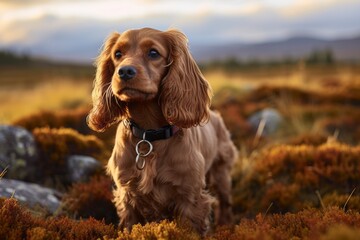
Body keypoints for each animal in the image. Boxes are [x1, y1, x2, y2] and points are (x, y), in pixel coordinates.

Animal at [87, 27, 238, 234]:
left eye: (153, 53)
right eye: (117, 54)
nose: (124, 71)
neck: (150, 135)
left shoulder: (190, 197)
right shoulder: (127, 194)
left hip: (222, 172)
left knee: (225, 203)